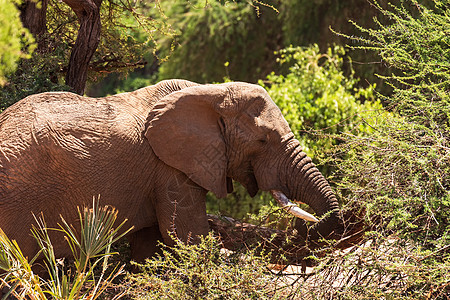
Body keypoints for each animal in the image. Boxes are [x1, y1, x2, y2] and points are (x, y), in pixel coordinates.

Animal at [0, 79, 342, 260]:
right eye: (262, 140)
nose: (303, 228)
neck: (211, 92)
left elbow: (151, 246)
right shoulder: (169, 169)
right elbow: (187, 236)